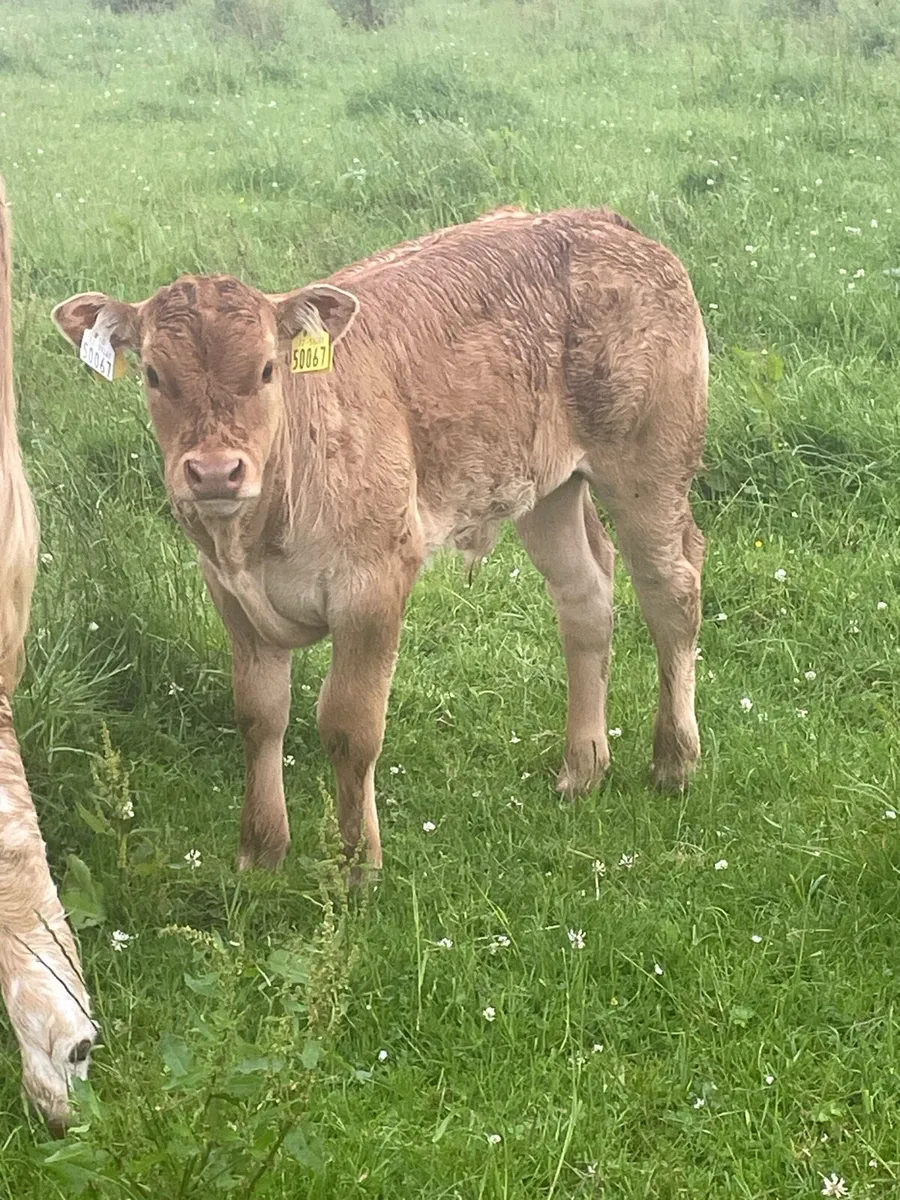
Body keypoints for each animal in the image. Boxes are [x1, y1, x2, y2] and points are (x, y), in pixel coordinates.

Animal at [52, 206, 708, 876]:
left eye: (266, 369)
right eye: (154, 375)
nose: (214, 471)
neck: (258, 535)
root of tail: (593, 219)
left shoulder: (374, 584)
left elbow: (350, 726)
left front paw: (357, 862)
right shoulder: (230, 594)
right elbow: (259, 716)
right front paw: (261, 851)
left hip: (649, 467)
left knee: (673, 591)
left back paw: (674, 758)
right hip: (546, 487)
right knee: (586, 595)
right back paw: (583, 767)